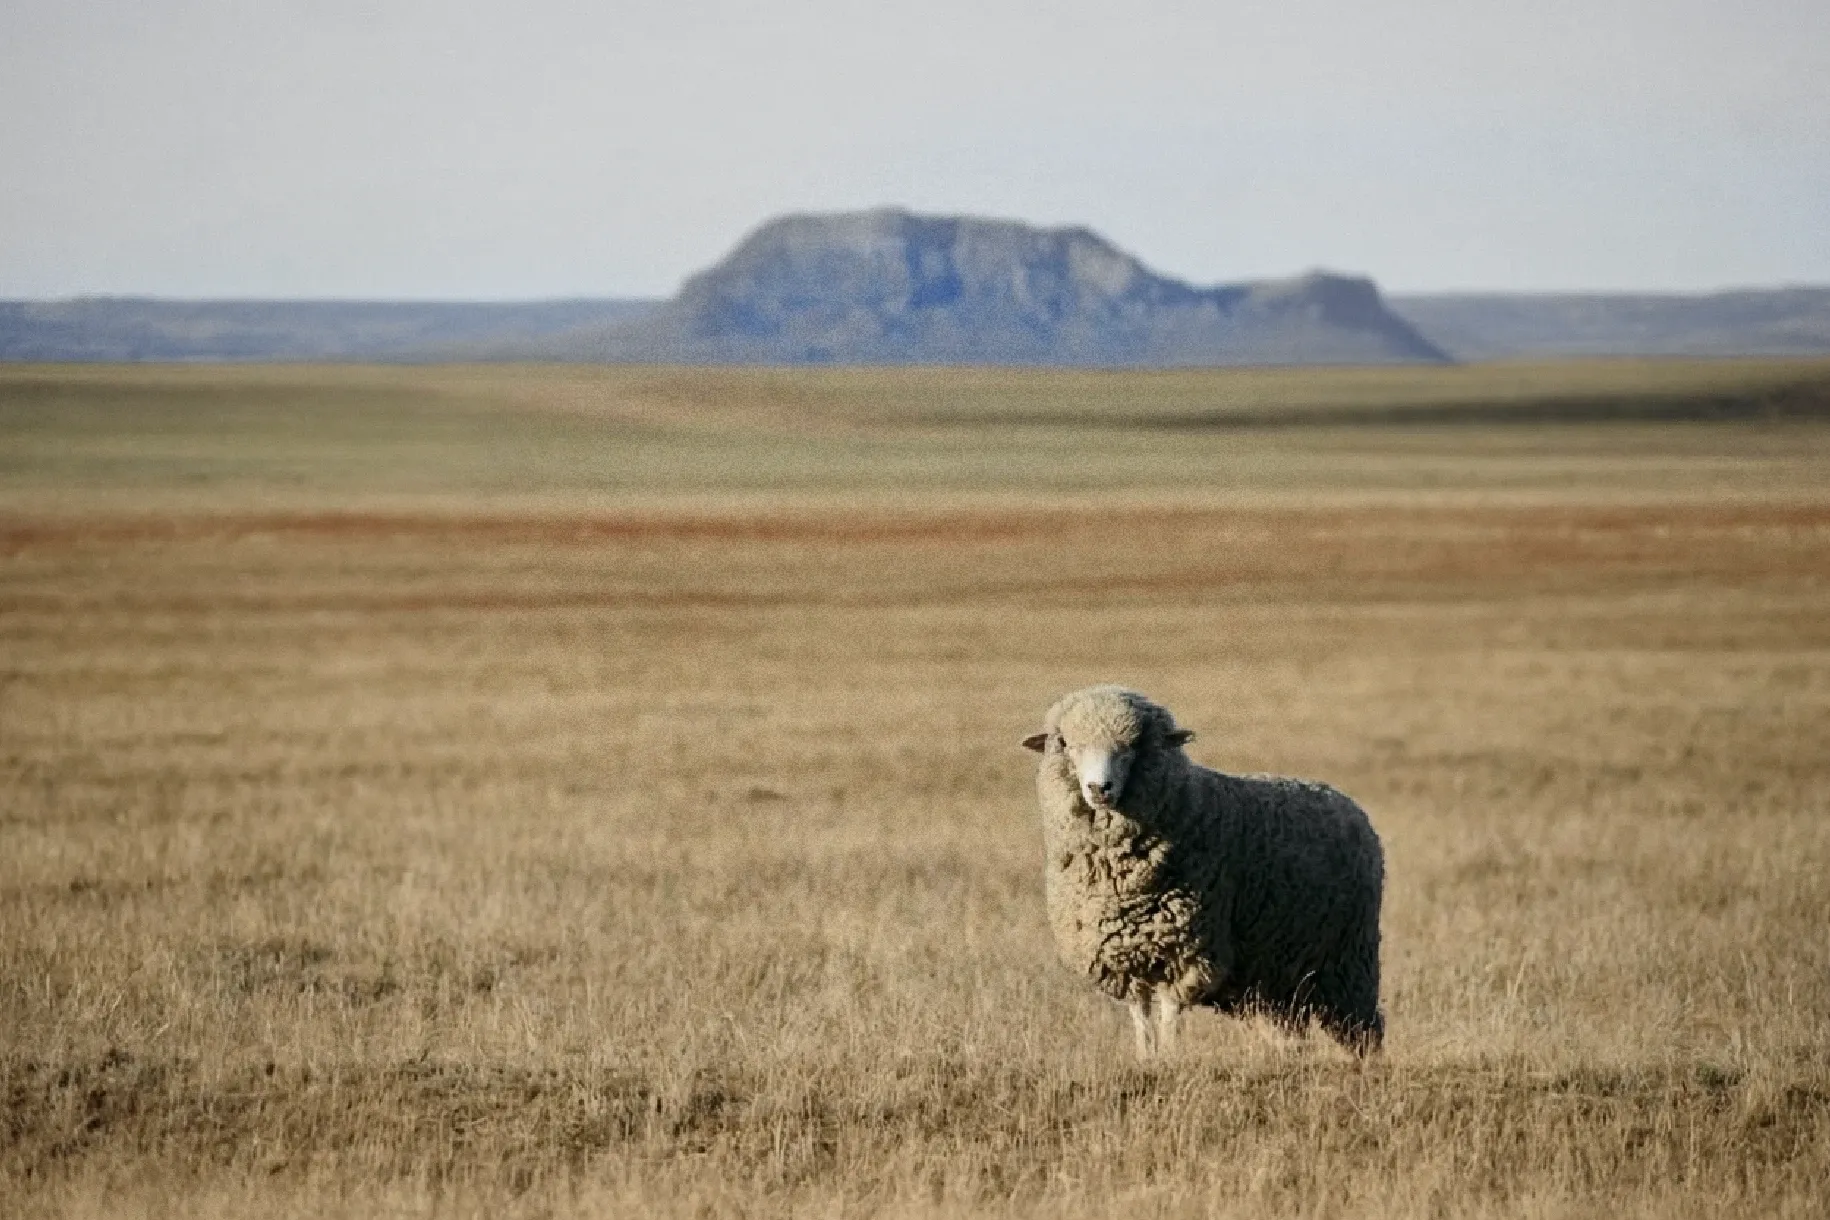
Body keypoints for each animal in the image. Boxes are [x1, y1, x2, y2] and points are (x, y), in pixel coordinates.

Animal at [1022, 685, 1384, 1057]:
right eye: (1065, 743)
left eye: (1136, 744)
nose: (1099, 788)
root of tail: (1341, 798)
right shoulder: (1124, 955)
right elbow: (1141, 1016)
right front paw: (1146, 1058)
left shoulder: (1187, 950)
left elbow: (1169, 1014)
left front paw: (1169, 1058)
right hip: (1277, 969)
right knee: (1288, 1027)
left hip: (1348, 961)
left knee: (1361, 1031)